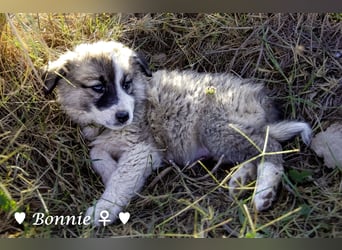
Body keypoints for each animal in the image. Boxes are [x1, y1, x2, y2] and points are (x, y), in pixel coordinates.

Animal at [42, 40, 310, 225]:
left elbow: (122, 178)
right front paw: (109, 172)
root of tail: (259, 98)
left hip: (214, 127)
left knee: (270, 146)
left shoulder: (144, 149)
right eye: (98, 87)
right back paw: (241, 178)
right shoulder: (106, 141)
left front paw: (103, 209)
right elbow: (97, 154)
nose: (123, 116)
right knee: (255, 150)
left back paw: (264, 192)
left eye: (126, 84)